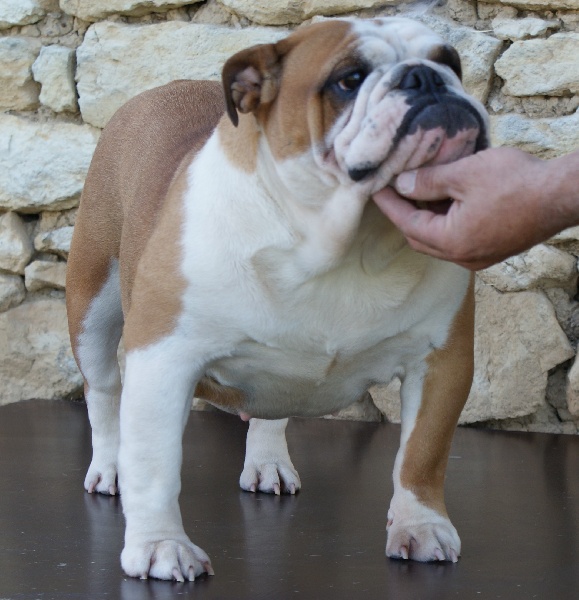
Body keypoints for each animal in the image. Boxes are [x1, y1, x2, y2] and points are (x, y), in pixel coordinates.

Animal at [66, 17, 488, 581]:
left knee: (272, 404)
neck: (344, 242)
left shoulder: (441, 360)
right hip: (91, 302)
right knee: (105, 392)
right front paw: (160, 546)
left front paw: (420, 527)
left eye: (452, 63)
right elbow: (155, 464)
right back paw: (110, 465)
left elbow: (422, 452)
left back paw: (267, 462)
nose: (426, 78)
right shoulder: (163, 356)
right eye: (349, 80)